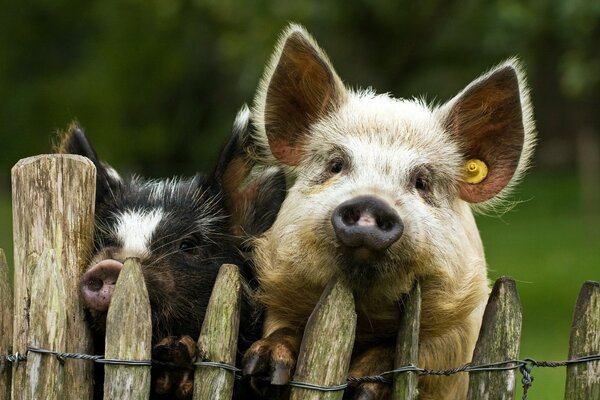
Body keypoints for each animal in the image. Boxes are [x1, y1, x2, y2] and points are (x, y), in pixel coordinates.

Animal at [241, 25, 536, 400]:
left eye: (422, 181)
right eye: (336, 164)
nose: (372, 203)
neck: (364, 319)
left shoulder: (458, 332)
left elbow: (409, 353)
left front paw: (361, 386)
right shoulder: (279, 298)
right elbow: (283, 330)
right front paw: (263, 370)